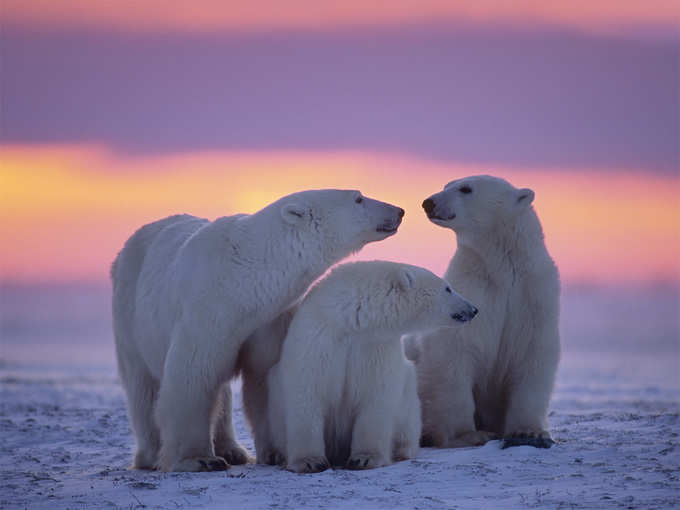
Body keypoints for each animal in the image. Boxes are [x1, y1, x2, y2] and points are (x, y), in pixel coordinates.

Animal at [110, 189, 404, 472]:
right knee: (143, 386)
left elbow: (264, 377)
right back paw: (151, 455)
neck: (243, 279)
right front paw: (199, 460)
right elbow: (192, 376)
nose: (399, 210)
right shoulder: (205, 311)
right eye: (358, 198)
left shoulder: (268, 318)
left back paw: (233, 450)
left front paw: (276, 452)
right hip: (130, 314)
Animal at [264, 260, 478, 472]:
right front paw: (309, 461)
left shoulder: (375, 347)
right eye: (448, 288)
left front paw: (365, 459)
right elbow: (307, 392)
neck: (351, 322)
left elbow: (375, 397)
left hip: (408, 396)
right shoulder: (318, 338)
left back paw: (401, 451)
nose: (474, 309)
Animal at [412, 176, 560, 450]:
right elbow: (455, 352)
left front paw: (529, 432)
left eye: (466, 188)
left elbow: (533, 354)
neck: (501, 269)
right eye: (447, 184)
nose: (429, 202)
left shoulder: (533, 296)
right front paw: (468, 434)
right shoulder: (473, 291)